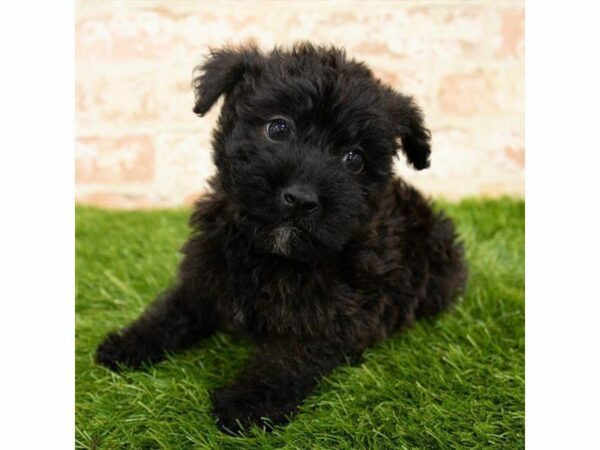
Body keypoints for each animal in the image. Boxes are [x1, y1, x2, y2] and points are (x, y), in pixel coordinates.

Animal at [96, 43, 466, 432]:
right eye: (278, 127)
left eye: (355, 159)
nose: (301, 198)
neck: (270, 252)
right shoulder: (206, 273)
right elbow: (172, 310)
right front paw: (128, 344)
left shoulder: (331, 314)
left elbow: (286, 359)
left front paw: (247, 404)